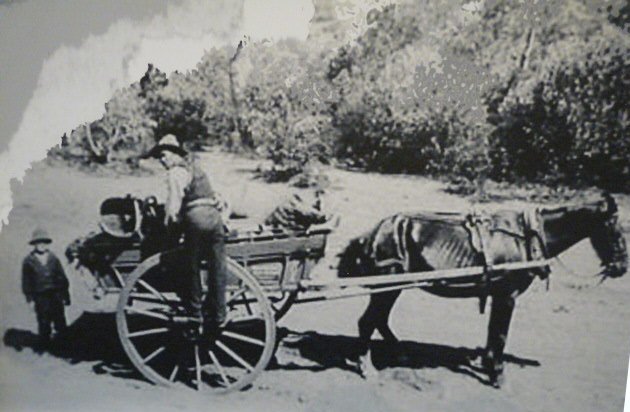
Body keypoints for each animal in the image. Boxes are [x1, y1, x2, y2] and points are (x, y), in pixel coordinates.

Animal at [336, 193, 628, 386]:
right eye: (617, 231)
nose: (622, 267)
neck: (528, 237)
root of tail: (373, 233)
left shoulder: (499, 295)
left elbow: (492, 332)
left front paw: (486, 363)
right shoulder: (507, 296)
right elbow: (500, 334)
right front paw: (497, 373)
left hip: (393, 286)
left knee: (379, 320)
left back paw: (401, 353)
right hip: (388, 285)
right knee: (368, 321)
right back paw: (365, 364)